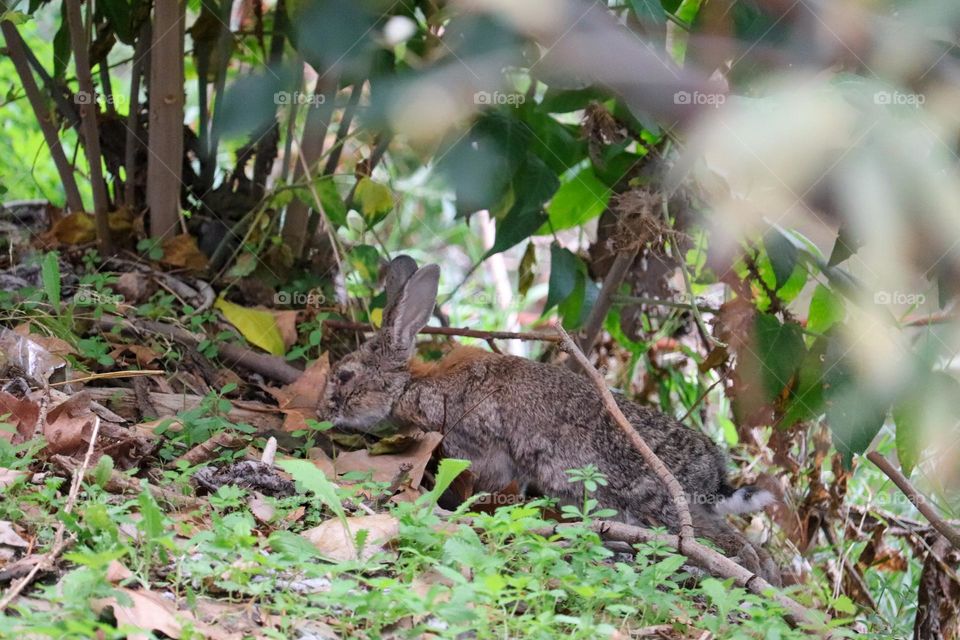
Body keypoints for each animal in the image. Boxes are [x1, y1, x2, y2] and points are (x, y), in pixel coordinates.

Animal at [323, 255, 780, 583]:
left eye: (345, 376)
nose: (324, 411)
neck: (411, 385)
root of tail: (715, 475)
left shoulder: (480, 450)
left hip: (665, 507)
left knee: (736, 547)